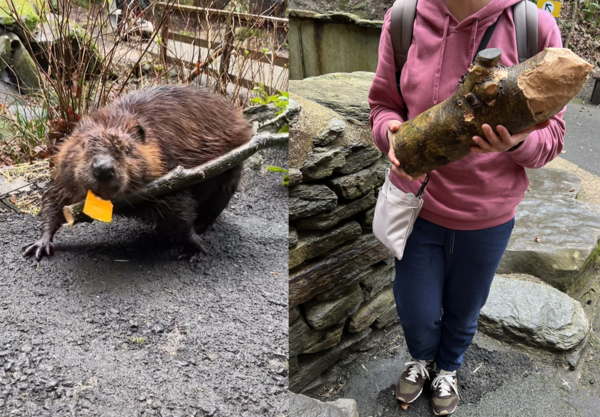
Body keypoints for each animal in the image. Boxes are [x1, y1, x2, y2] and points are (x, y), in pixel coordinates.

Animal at [22, 83, 253, 260]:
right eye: (84, 145)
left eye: (127, 149)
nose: (103, 169)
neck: (114, 121)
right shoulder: (63, 173)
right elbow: (53, 199)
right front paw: (38, 245)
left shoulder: (169, 173)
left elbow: (179, 210)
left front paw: (194, 247)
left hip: (232, 169)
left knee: (215, 205)